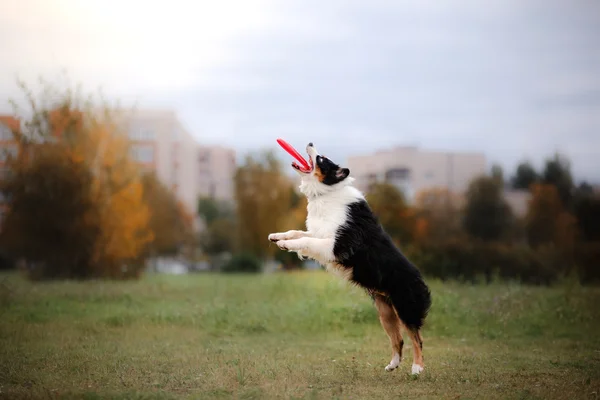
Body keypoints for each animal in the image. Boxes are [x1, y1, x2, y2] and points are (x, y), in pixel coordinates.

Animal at [268, 143, 432, 376]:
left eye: (321, 159)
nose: (310, 143)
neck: (327, 192)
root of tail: (420, 278)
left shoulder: (335, 245)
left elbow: (305, 241)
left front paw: (285, 244)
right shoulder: (320, 233)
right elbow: (297, 232)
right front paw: (277, 237)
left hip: (405, 307)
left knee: (416, 338)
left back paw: (417, 368)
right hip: (385, 312)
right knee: (398, 340)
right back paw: (392, 365)